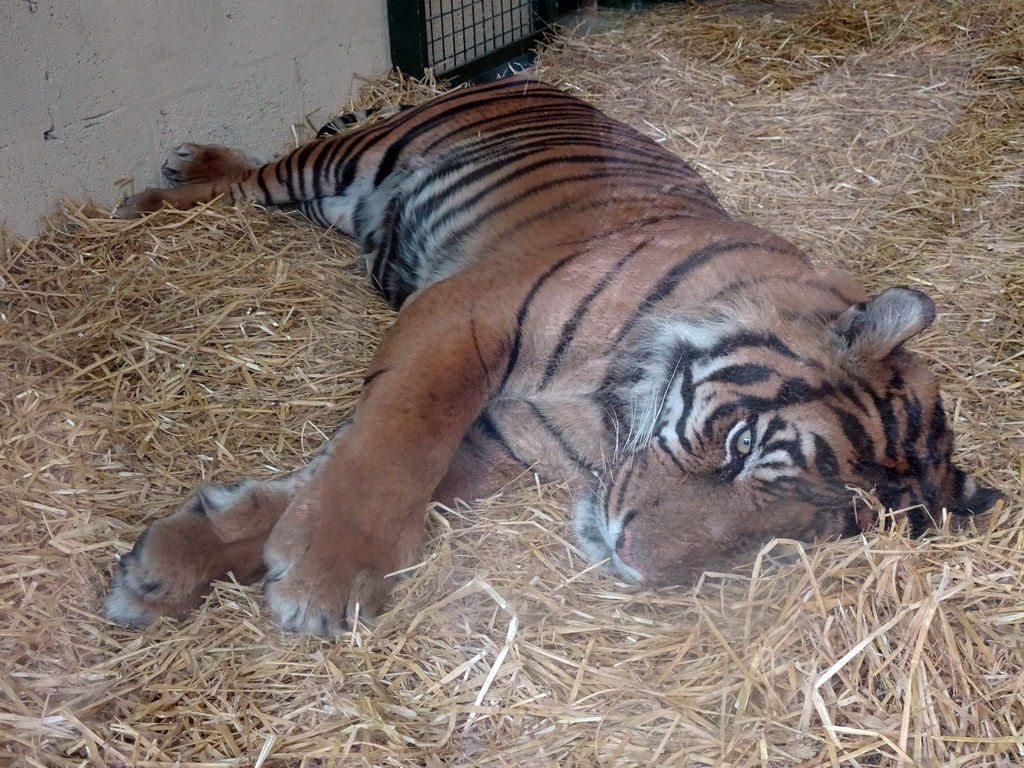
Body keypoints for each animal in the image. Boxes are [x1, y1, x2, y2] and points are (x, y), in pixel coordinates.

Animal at [105, 75, 999, 638]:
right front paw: (327, 578)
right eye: (743, 448)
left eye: (788, 541)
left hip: (348, 200)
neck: (607, 413)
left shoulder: (495, 443)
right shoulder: (465, 316)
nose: (635, 565)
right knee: (255, 178)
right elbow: (390, 450)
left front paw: (167, 566)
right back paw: (159, 190)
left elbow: (328, 476)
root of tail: (529, 80)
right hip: (355, 156)